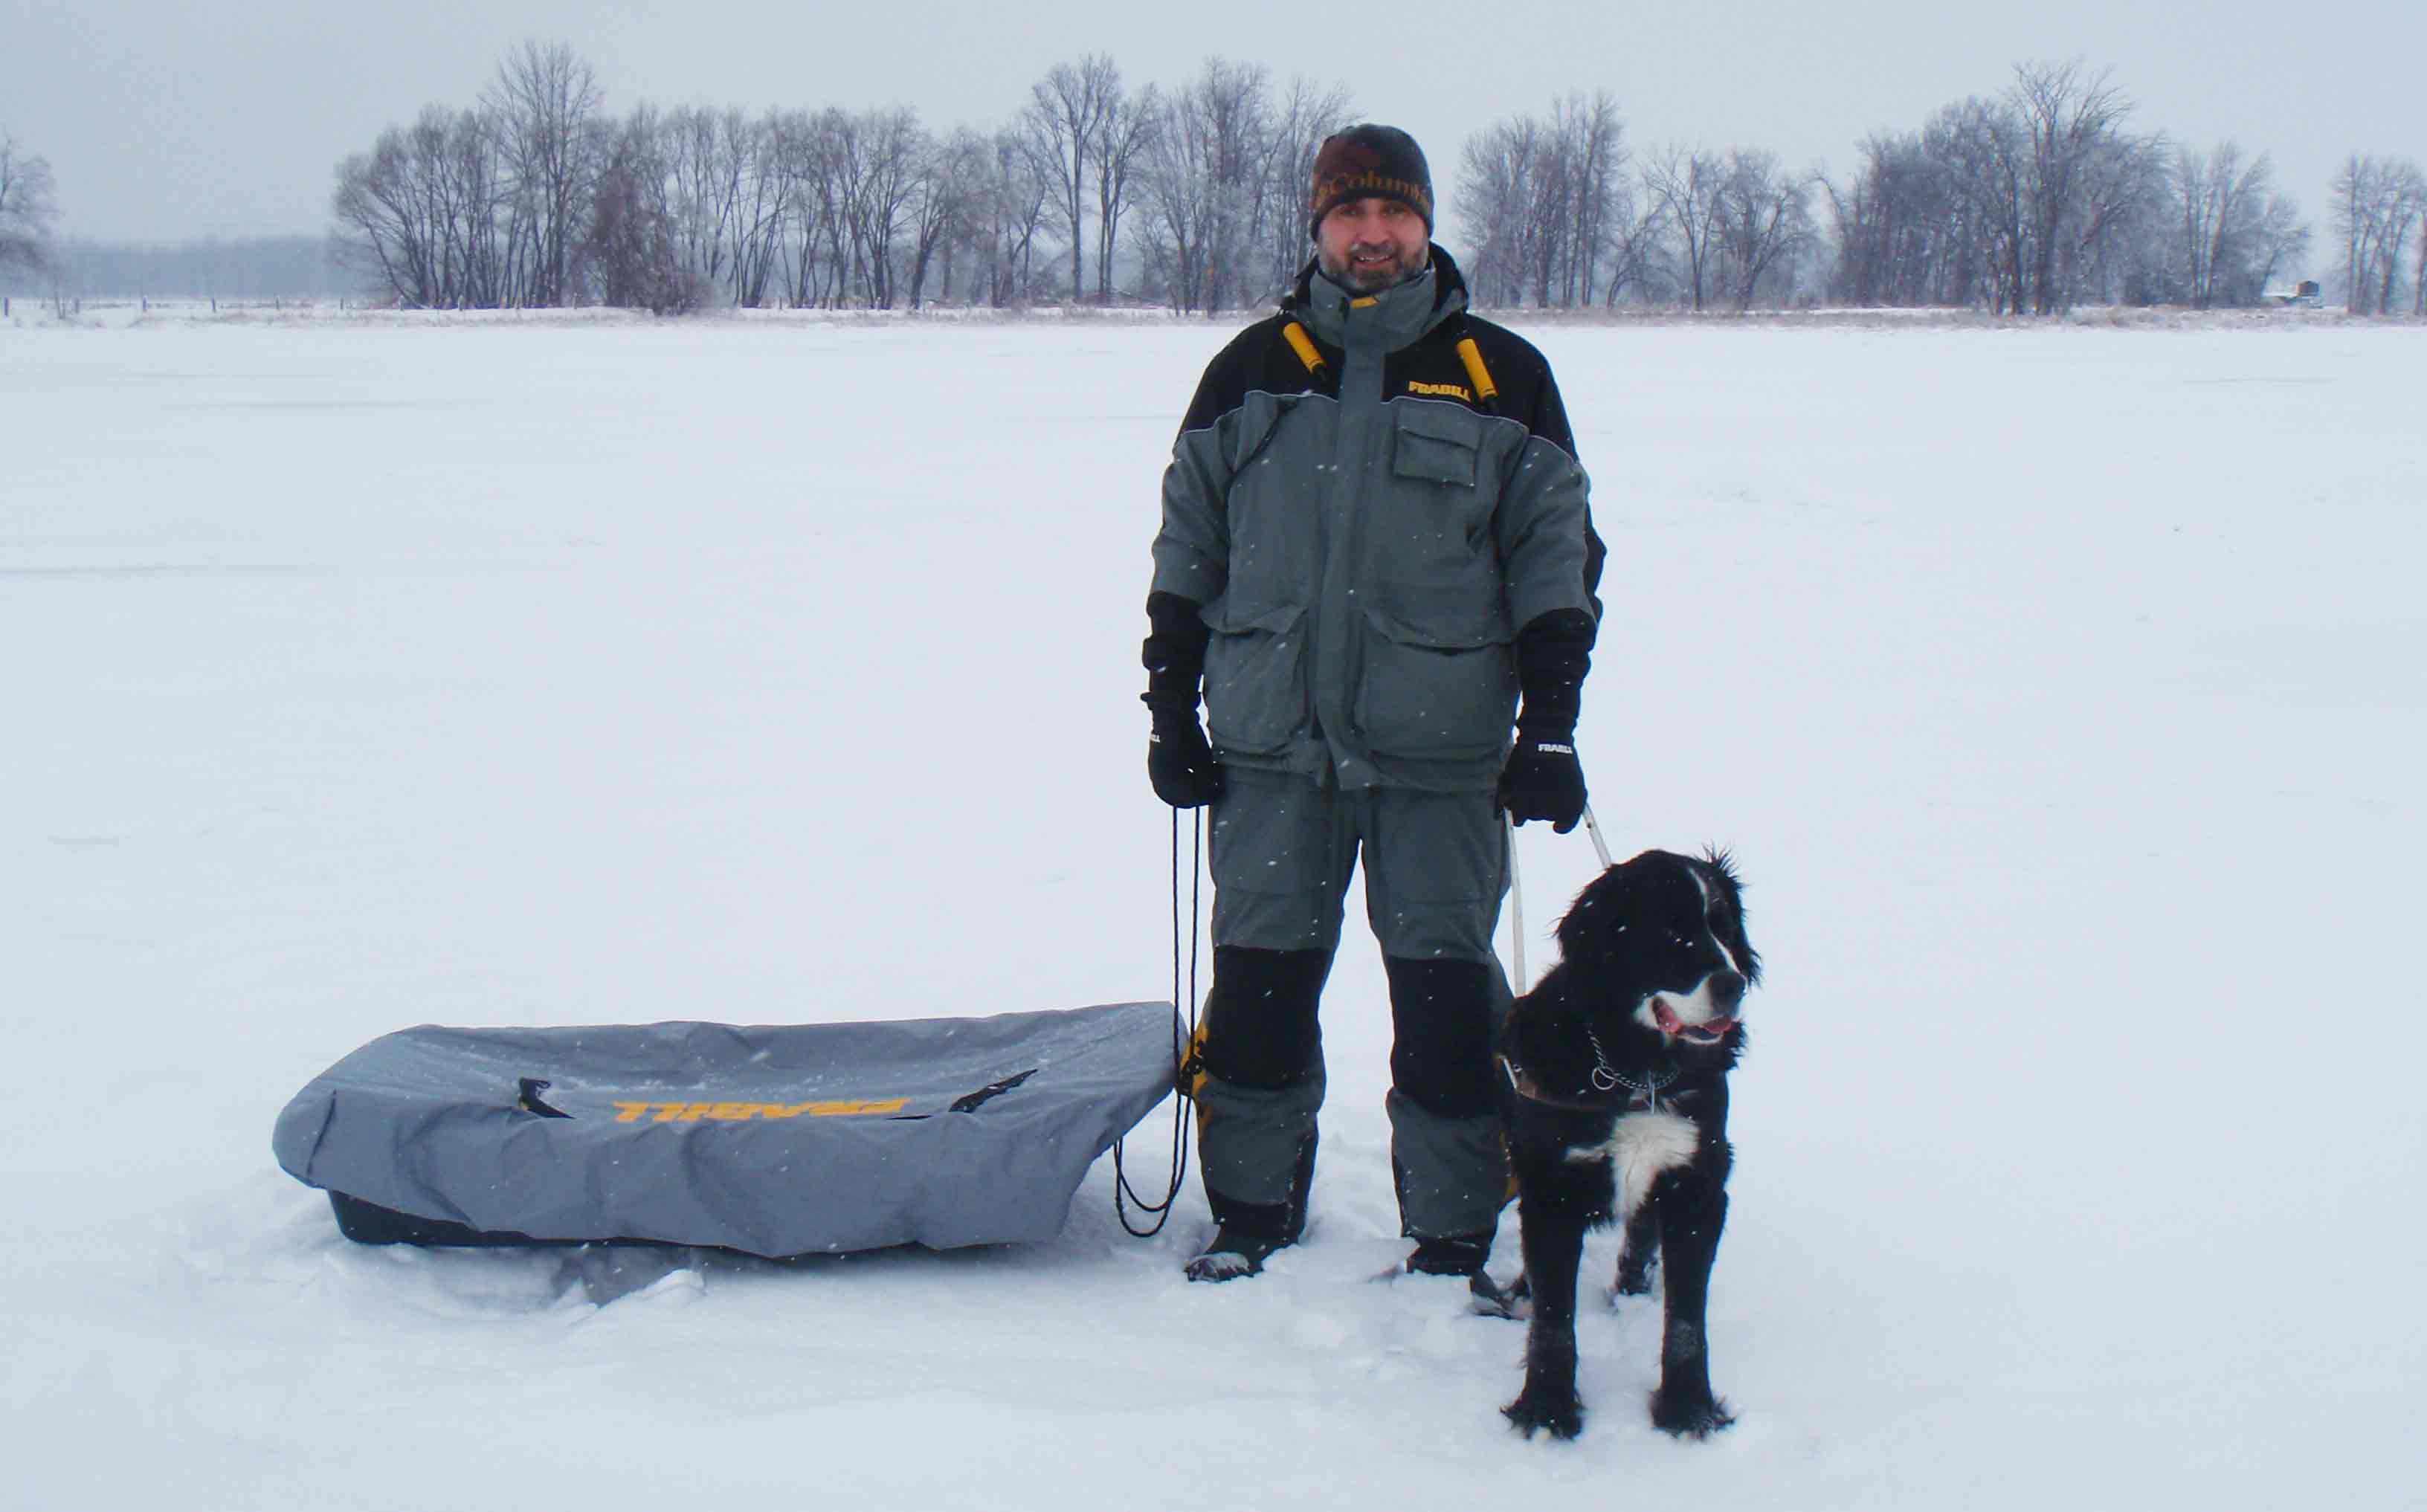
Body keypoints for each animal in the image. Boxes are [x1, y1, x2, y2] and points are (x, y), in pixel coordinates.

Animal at [1485, 854, 1757, 1446]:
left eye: (1724, 928)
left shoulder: (1696, 1181)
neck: (1635, 1073)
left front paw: (1688, 1409)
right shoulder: (1552, 1190)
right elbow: (1554, 1320)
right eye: (1673, 933)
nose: (1733, 984)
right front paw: (1547, 1410)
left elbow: (1687, 1321)